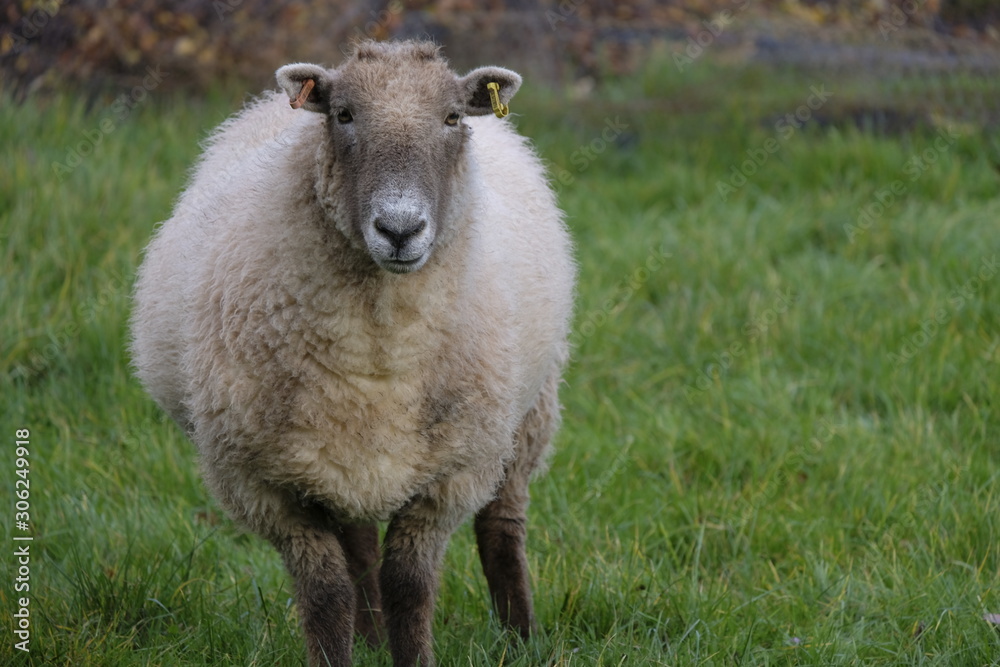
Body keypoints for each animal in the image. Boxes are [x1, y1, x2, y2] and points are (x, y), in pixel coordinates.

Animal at [130, 40, 575, 667]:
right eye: (343, 114)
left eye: (452, 117)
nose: (400, 229)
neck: (381, 348)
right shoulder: (266, 485)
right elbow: (326, 592)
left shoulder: (453, 473)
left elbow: (410, 586)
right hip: (336, 453)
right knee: (359, 549)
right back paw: (369, 639)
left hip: (527, 415)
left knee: (501, 526)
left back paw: (520, 638)